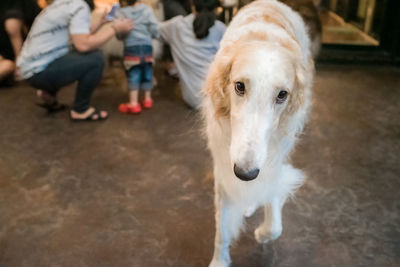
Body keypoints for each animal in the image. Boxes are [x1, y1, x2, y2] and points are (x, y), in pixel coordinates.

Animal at [202, 1, 314, 266]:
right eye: (239, 86)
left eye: (282, 94)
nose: (246, 173)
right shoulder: (223, 169)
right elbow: (222, 232)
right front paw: (219, 261)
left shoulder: (273, 161)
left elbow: (274, 222)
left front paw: (263, 233)